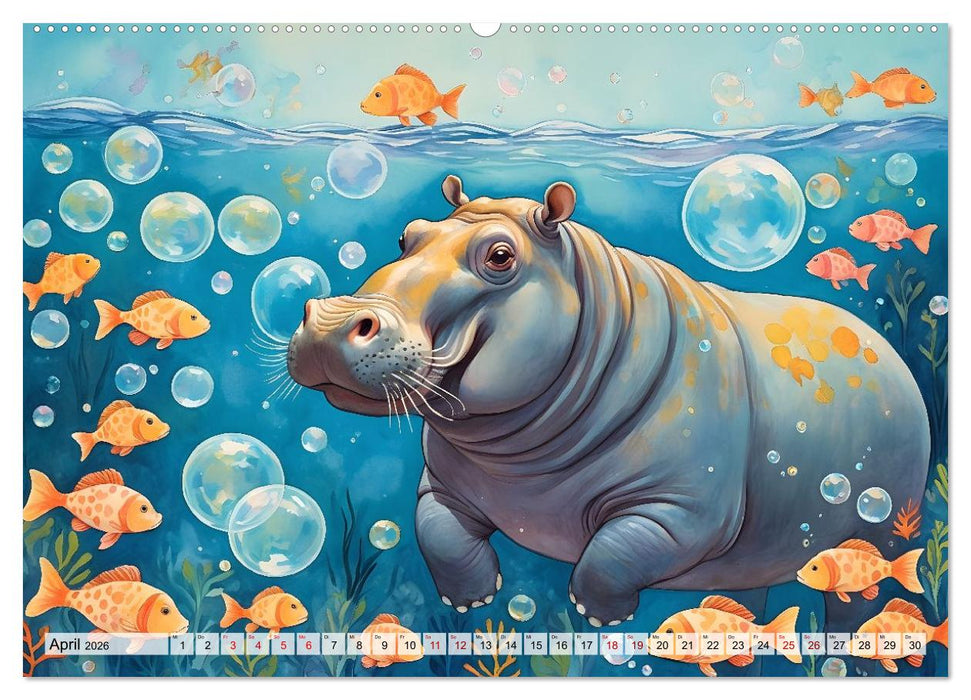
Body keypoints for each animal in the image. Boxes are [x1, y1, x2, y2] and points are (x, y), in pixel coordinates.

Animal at [288, 175, 929, 627]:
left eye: (500, 256)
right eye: (407, 235)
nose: (329, 321)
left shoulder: (681, 511)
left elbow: (614, 554)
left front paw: (598, 618)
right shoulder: (441, 487)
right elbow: (437, 532)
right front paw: (473, 602)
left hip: (879, 528)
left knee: (858, 597)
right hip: (763, 553)